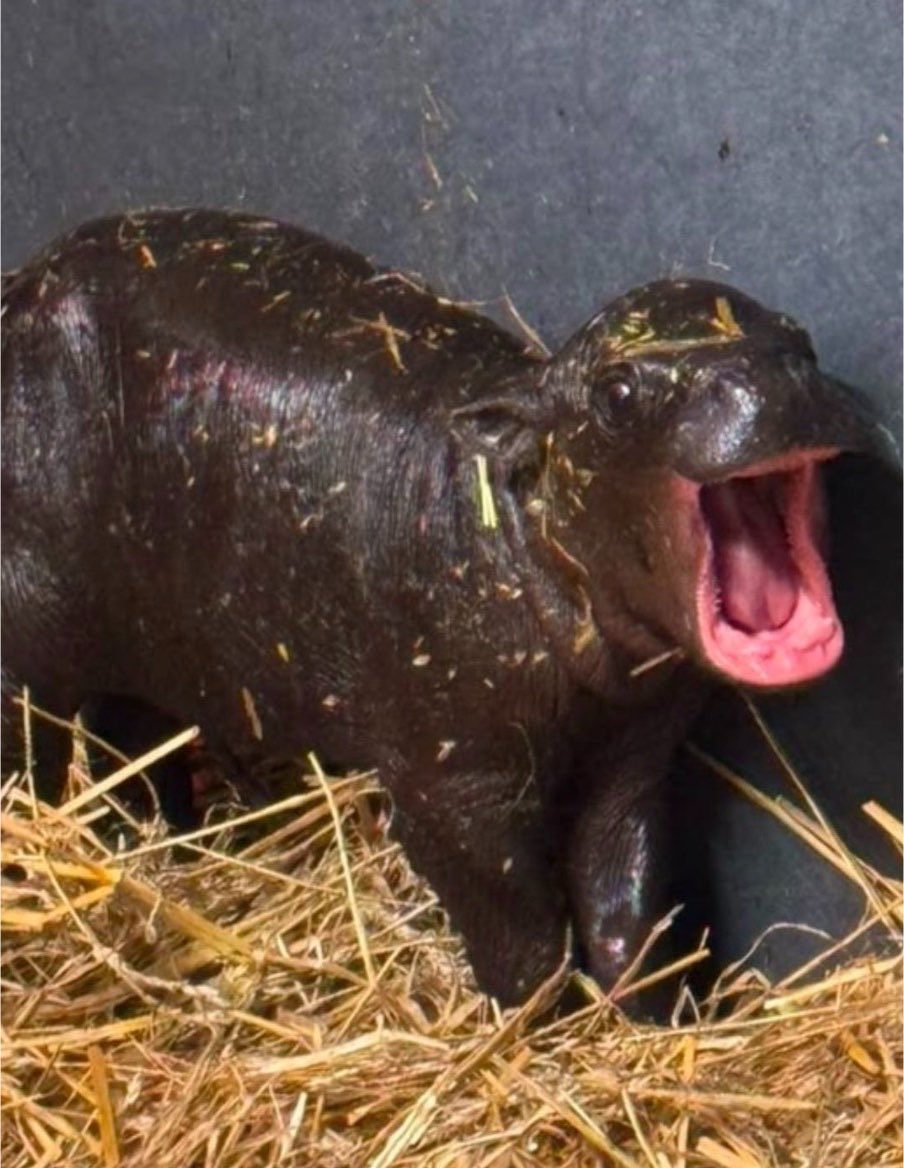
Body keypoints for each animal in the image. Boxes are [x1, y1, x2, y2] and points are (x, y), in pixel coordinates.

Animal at [1, 209, 881, 1005]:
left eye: (799, 341)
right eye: (619, 391)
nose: (769, 382)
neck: (521, 524)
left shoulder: (633, 752)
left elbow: (627, 899)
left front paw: (651, 1022)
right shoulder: (452, 786)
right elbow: (522, 932)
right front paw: (532, 1035)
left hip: (144, 648)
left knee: (127, 742)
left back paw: (163, 851)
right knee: (35, 743)